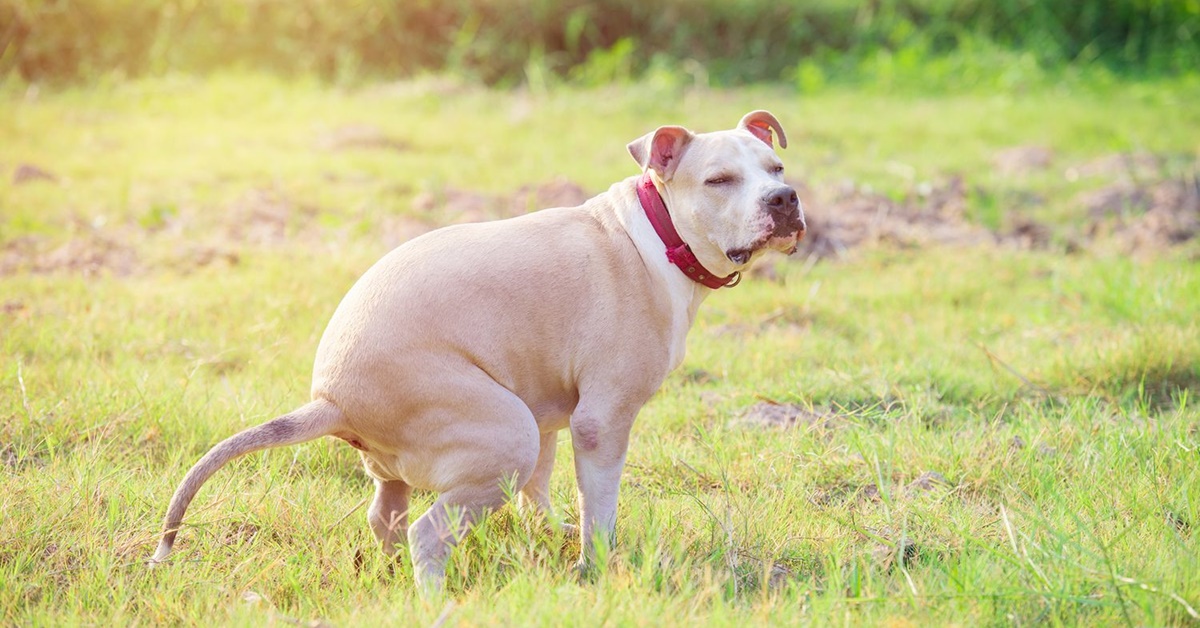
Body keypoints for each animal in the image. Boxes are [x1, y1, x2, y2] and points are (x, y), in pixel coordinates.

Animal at [152, 109, 806, 595]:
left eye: (776, 167)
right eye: (718, 180)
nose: (785, 199)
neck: (659, 234)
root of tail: (330, 399)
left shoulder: (551, 411)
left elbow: (539, 492)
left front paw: (553, 537)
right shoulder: (601, 422)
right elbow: (600, 507)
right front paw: (594, 568)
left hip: (437, 452)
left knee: (387, 518)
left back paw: (392, 578)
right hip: (504, 434)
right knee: (427, 533)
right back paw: (436, 602)